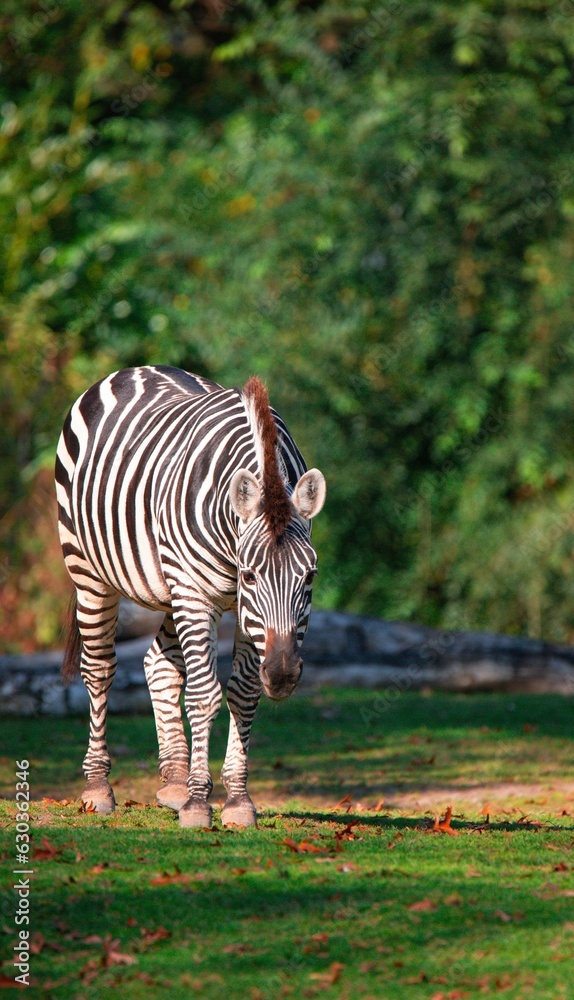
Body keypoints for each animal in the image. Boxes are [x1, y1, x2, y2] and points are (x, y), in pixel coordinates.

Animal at [55, 365, 326, 828]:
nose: (282, 675)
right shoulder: (199, 593)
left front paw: (236, 800)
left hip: (170, 586)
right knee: (99, 670)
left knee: (158, 665)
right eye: (250, 575)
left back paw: (175, 783)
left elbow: (243, 693)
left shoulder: (238, 611)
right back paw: (98, 787)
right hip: (89, 569)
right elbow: (204, 695)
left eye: (309, 575)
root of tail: (134, 369)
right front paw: (200, 802)